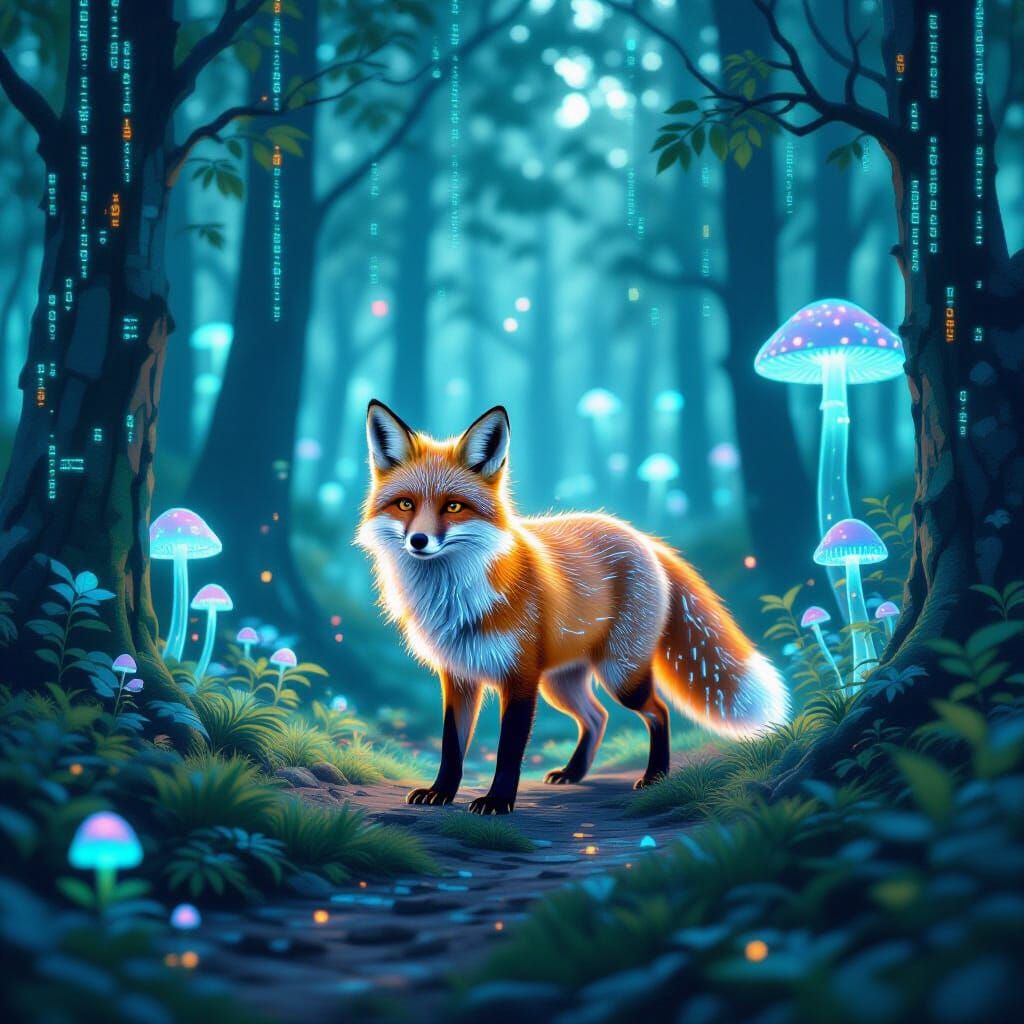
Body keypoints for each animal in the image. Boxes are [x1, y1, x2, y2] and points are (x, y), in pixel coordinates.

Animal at [357, 400, 790, 815]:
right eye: (405, 504)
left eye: (453, 507)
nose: (418, 541)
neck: (456, 597)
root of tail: (641, 537)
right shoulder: (459, 676)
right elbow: (451, 746)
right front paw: (441, 793)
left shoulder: (521, 678)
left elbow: (508, 751)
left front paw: (498, 802)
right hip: (561, 683)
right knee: (598, 717)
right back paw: (574, 772)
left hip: (618, 675)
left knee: (658, 711)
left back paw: (656, 775)